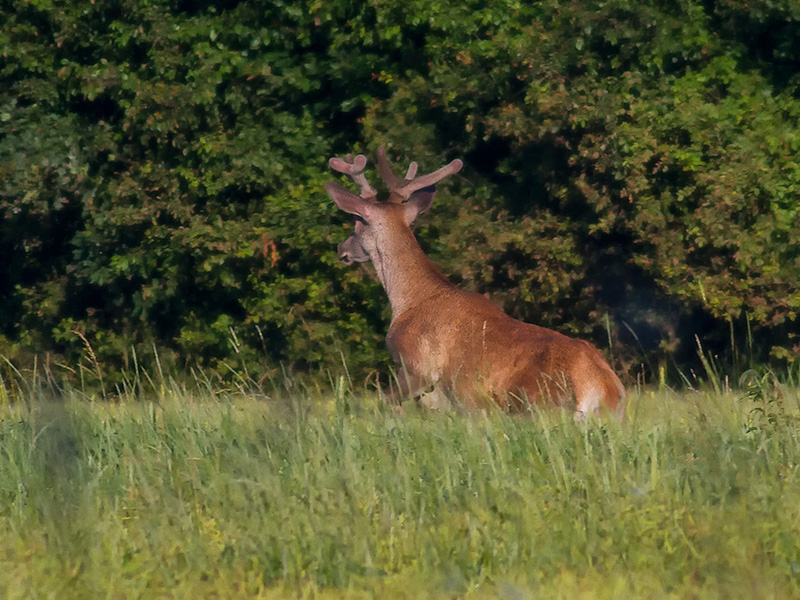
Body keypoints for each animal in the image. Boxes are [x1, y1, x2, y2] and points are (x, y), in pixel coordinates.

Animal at [324, 146, 624, 418]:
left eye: (356, 222)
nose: (341, 249)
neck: (411, 299)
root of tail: (604, 388)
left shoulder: (415, 367)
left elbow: (382, 404)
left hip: (536, 405)